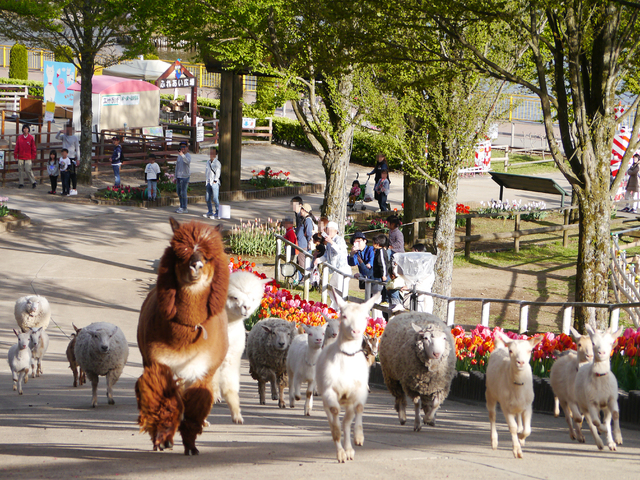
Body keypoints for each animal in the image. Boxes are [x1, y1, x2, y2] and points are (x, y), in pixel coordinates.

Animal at [212, 270, 268, 424]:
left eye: (253, 299)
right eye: (234, 297)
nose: (246, 308)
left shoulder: (231, 357)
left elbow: (230, 386)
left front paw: (236, 414)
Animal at [316, 288, 380, 462]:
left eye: (365, 317)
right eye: (343, 315)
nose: (356, 331)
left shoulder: (359, 390)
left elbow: (358, 408)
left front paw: (358, 438)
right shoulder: (330, 392)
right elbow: (336, 420)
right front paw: (341, 453)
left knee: (347, 420)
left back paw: (350, 449)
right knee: (334, 421)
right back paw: (343, 452)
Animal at [488, 332, 544, 460]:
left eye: (529, 351)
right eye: (511, 351)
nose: (521, 362)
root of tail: (500, 346)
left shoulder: (528, 405)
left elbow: (527, 430)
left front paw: (521, 437)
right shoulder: (505, 406)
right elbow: (512, 427)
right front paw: (517, 451)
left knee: (518, 417)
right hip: (490, 393)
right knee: (492, 415)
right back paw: (494, 442)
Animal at [572, 324, 624, 452]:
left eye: (611, 343)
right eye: (593, 343)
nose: (601, 353)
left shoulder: (612, 399)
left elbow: (615, 414)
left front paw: (618, 439)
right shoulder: (591, 402)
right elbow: (595, 421)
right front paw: (603, 430)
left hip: (605, 406)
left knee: (607, 419)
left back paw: (611, 443)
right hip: (583, 405)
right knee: (591, 423)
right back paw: (600, 443)